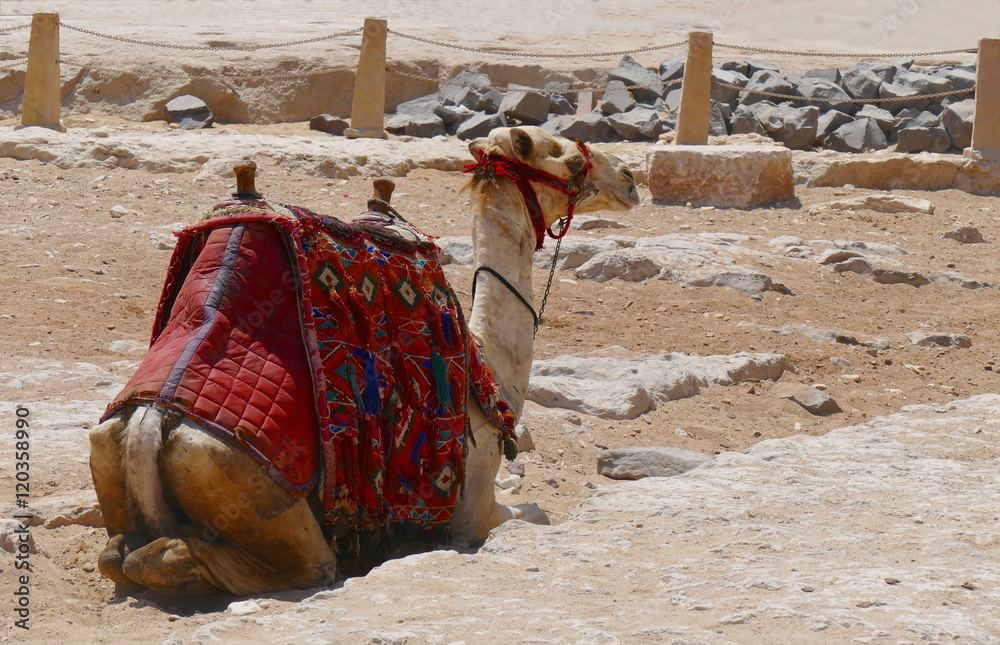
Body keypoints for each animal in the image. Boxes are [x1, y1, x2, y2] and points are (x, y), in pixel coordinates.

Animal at [88, 126, 639, 596]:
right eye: (566, 158)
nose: (630, 178)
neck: (490, 371)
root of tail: (148, 424)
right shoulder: (471, 513)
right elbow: (535, 512)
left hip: (109, 454)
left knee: (117, 554)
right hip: (241, 482)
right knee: (267, 562)